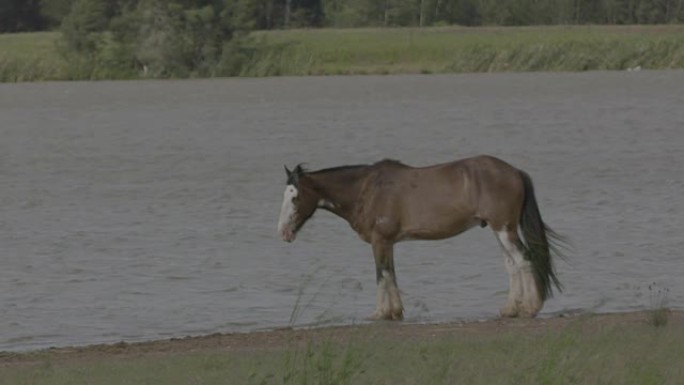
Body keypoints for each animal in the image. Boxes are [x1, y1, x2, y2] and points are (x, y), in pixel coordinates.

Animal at [276, 154, 564, 320]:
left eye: (295, 197)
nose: (283, 232)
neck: (366, 189)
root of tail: (514, 172)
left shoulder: (380, 241)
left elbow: (381, 274)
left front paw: (380, 312)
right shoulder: (388, 242)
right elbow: (391, 273)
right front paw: (394, 311)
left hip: (504, 229)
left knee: (524, 260)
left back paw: (530, 308)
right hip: (499, 229)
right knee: (511, 264)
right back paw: (510, 309)